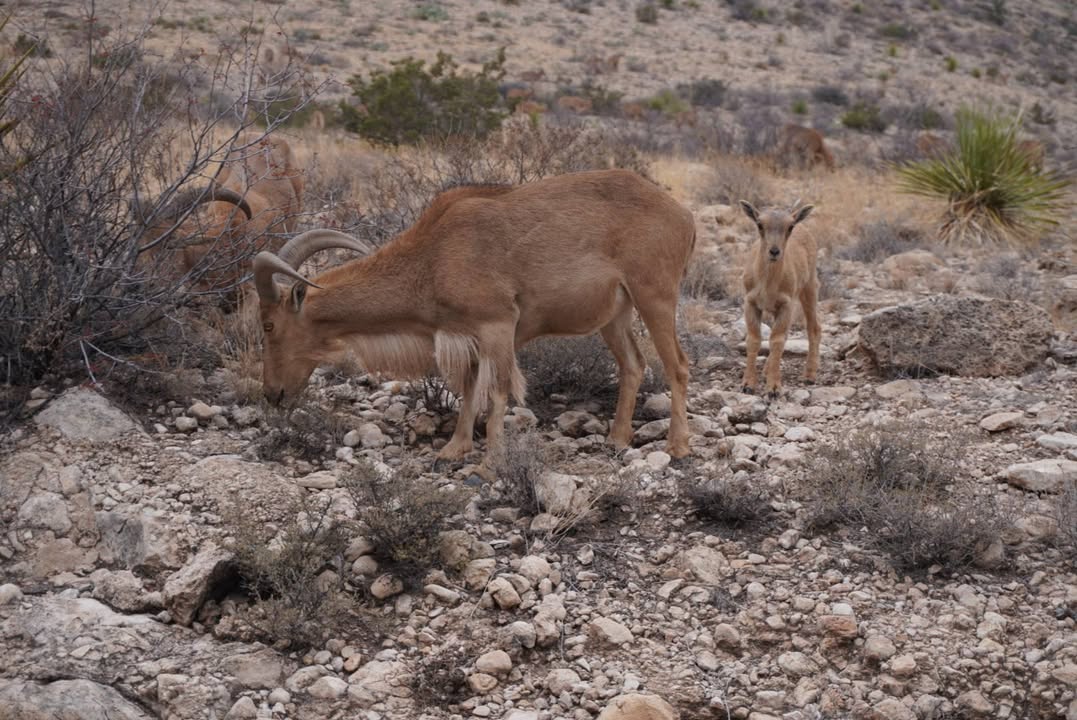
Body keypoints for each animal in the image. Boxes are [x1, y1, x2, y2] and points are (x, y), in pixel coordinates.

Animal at [252, 169, 697, 468]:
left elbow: (496, 390)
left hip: (655, 295)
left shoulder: (497, 325)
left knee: (677, 365)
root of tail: (684, 216)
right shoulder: (465, 335)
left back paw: (677, 446)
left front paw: (490, 461)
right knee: (633, 364)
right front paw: (455, 448)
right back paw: (617, 439)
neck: (433, 258)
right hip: (616, 314)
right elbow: (468, 387)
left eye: (268, 325)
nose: (273, 394)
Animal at [739, 200, 820, 398]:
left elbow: (776, 341)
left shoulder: (786, 304)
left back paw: (810, 374)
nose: (774, 251)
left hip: (809, 287)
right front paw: (748, 384)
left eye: (790, 227)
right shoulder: (750, 303)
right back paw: (766, 370)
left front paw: (774, 388)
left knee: (814, 327)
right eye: (759, 224)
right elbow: (754, 340)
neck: (767, 285)